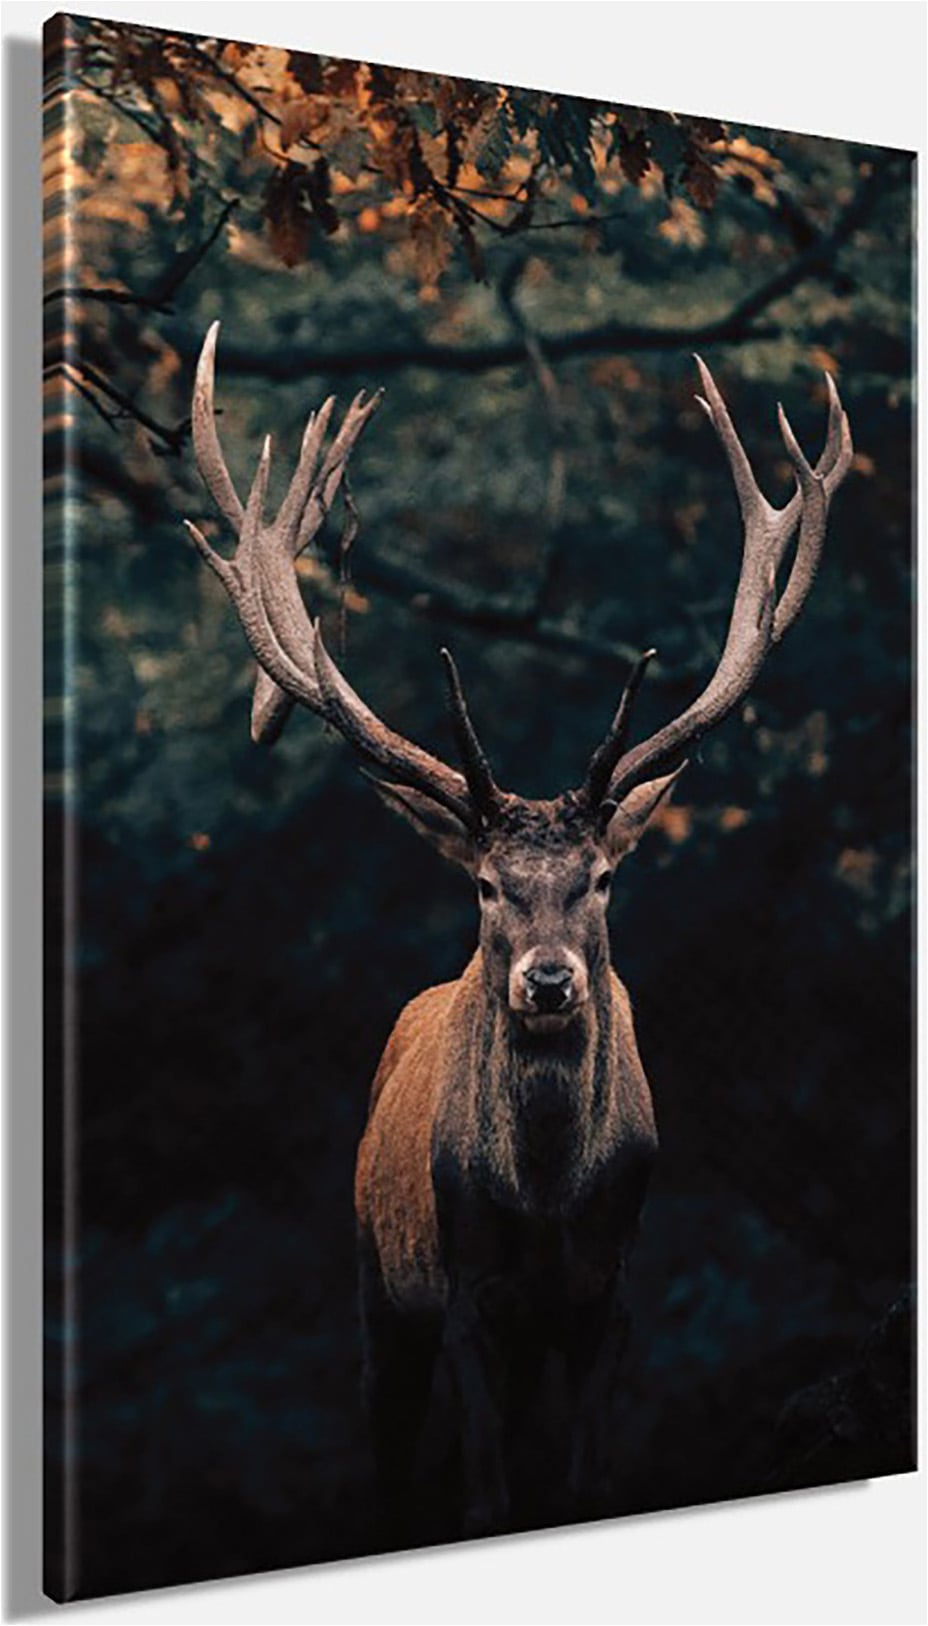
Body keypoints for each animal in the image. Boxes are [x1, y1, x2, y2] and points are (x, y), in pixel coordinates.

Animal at [185, 322, 852, 1538]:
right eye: (489, 886)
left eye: (601, 877)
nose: (546, 982)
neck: (545, 1205)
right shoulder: (462, 1296)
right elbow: (488, 1492)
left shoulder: (610, 1293)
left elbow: (585, 1480)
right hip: (375, 1278)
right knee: (393, 1451)